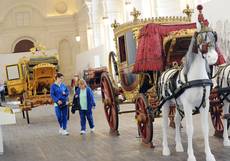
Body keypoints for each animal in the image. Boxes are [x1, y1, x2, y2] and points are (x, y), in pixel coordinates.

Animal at [159, 30, 218, 160]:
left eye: (214, 38)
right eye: (201, 40)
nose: (214, 57)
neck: (197, 78)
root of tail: (166, 71)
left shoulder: (205, 104)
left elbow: (205, 128)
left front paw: (209, 154)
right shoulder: (187, 105)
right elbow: (190, 129)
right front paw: (191, 156)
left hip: (179, 105)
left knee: (176, 120)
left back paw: (179, 145)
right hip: (166, 103)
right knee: (164, 124)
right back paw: (165, 149)